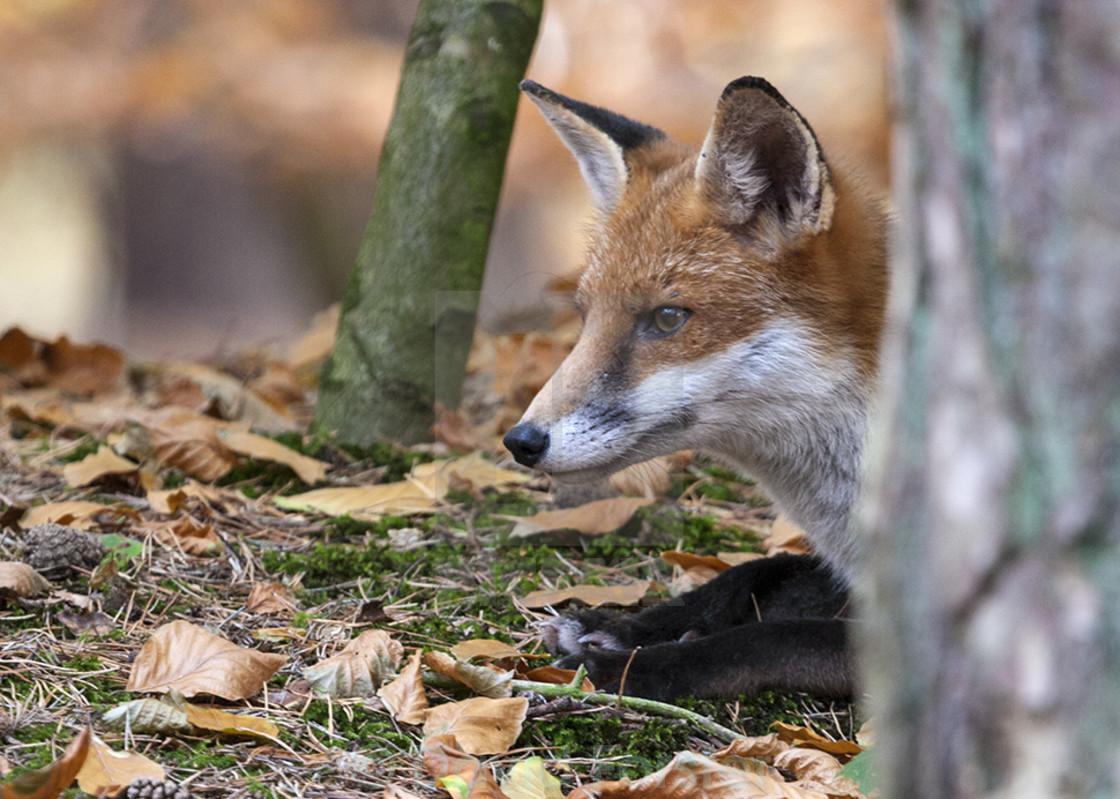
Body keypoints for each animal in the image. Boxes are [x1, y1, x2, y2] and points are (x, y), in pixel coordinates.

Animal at [504, 75, 887, 699]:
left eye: (666, 318)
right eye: (585, 316)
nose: (521, 441)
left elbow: (769, 638)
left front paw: (633, 667)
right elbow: (749, 573)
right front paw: (626, 626)